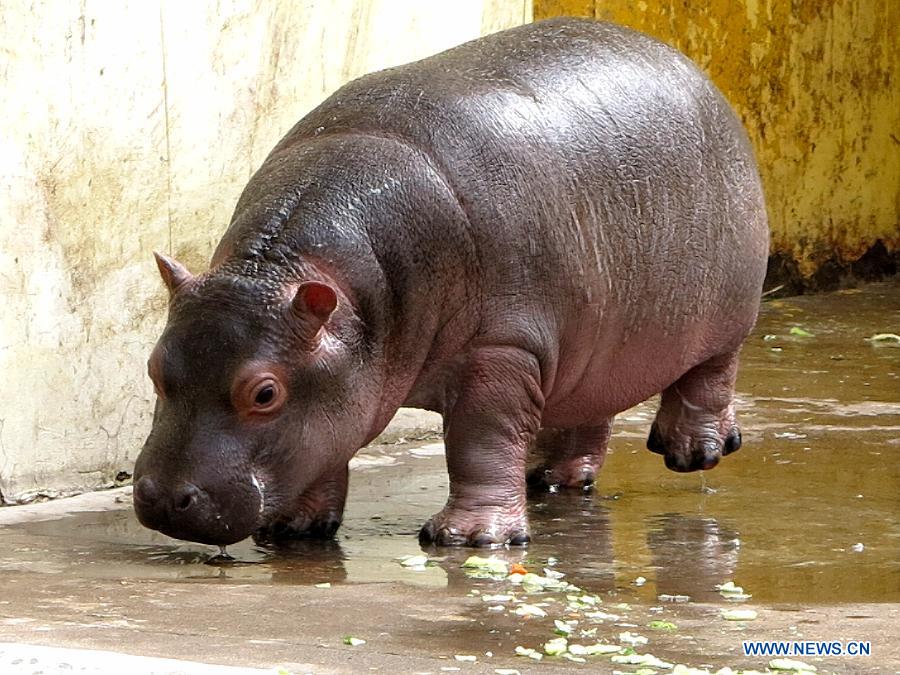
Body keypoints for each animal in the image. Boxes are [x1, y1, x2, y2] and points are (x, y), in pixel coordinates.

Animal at [132, 17, 768, 548]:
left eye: (264, 393)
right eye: (155, 367)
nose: (163, 499)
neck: (289, 266)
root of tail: (685, 61)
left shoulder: (504, 349)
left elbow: (480, 442)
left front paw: (471, 539)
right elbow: (325, 446)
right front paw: (295, 528)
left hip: (726, 308)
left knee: (711, 374)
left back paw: (692, 451)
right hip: (594, 330)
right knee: (590, 404)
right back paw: (551, 479)